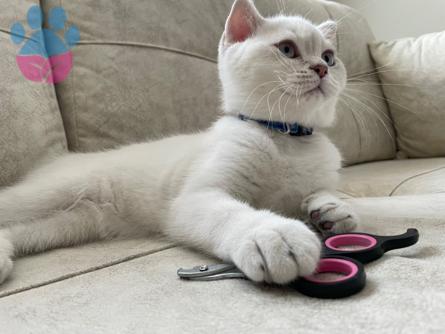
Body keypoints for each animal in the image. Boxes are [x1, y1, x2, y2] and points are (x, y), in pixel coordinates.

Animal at [0, 0, 358, 286]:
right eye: (286, 49)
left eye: (330, 56)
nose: (321, 68)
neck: (287, 138)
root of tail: (57, 158)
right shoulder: (196, 198)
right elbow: (229, 212)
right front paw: (272, 234)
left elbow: (323, 192)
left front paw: (332, 210)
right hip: (50, 193)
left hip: (66, 223)